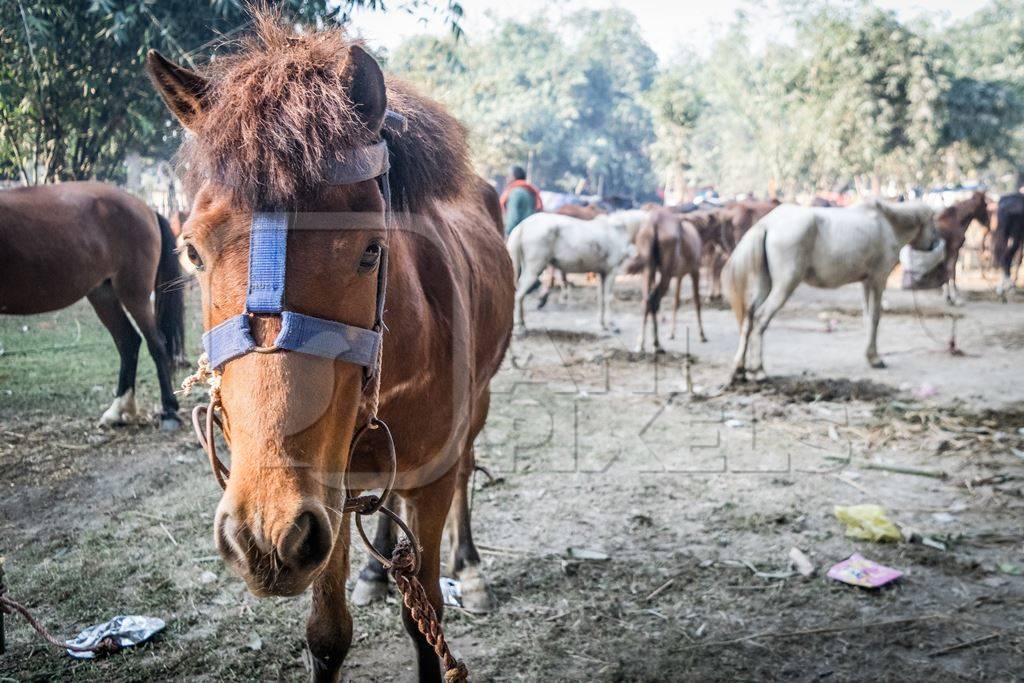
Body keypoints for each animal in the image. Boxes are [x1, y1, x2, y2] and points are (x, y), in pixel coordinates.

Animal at [1, 181, 184, 428]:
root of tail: (146, 209)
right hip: (102, 293)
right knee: (128, 341)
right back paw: (118, 410)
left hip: (134, 293)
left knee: (156, 343)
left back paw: (169, 412)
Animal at [146, 15, 512, 683]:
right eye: (190, 250)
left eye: (371, 249)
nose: (262, 535)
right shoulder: (325, 492)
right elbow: (328, 634)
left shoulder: (429, 477)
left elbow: (426, 627)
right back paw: (376, 570)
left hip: (479, 404)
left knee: (468, 467)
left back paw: (468, 568)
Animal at [507, 210, 643, 333]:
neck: (616, 231)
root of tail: (522, 225)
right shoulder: (611, 272)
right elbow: (607, 298)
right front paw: (612, 325)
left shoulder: (602, 273)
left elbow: (601, 298)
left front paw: (602, 325)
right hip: (534, 270)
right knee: (519, 296)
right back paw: (519, 326)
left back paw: (523, 324)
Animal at [622, 206, 704, 352]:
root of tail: (653, 223)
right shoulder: (695, 271)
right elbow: (697, 301)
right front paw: (702, 335)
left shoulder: (679, 275)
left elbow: (676, 301)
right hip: (666, 273)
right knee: (654, 300)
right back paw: (656, 343)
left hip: (649, 269)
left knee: (647, 300)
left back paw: (643, 343)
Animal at [720, 198, 937, 385]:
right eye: (933, 223)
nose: (935, 244)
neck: (886, 223)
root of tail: (768, 224)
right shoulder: (878, 280)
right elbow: (875, 317)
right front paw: (875, 359)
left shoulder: (866, 282)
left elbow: (867, 318)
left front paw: (870, 355)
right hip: (785, 285)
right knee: (760, 318)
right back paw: (758, 371)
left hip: (765, 285)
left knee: (748, 318)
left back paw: (739, 370)